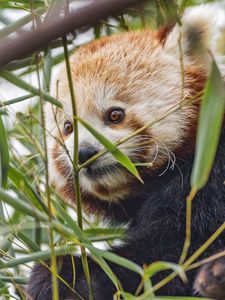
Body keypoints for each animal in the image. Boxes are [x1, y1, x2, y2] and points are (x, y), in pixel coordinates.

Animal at [27, 7, 224, 300]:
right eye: (67, 127)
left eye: (114, 115)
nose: (84, 153)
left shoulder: (209, 179)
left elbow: (170, 258)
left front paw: (67, 275)